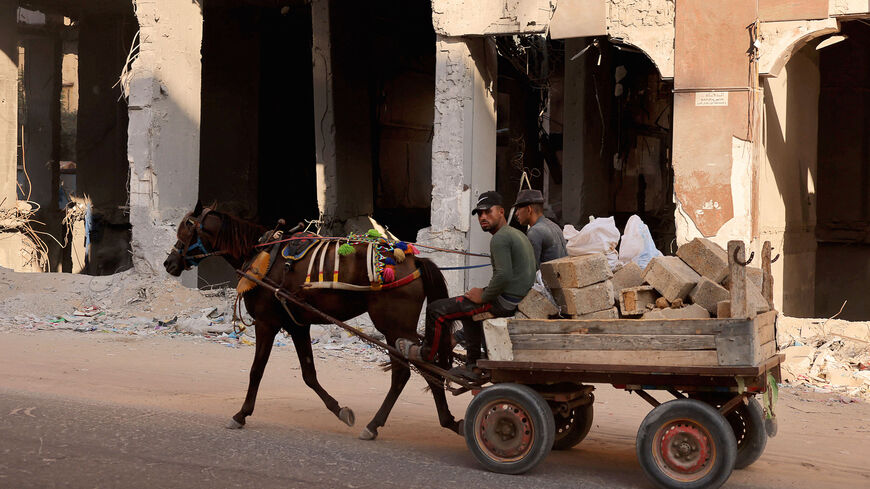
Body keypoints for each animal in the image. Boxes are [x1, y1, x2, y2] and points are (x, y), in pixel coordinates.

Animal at [164, 201, 464, 438]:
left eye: (186, 232)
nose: (169, 263)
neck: (260, 253)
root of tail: (414, 262)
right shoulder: (298, 325)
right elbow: (309, 374)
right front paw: (340, 410)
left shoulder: (266, 323)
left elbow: (256, 370)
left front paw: (241, 414)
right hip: (398, 329)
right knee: (424, 368)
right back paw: (448, 421)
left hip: (394, 326)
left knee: (409, 371)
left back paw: (379, 425)